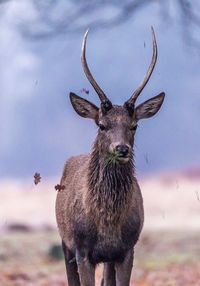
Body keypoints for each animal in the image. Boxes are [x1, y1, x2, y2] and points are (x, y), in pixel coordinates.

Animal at [55, 27, 165, 286]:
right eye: (102, 125)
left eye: (134, 125)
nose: (122, 149)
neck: (108, 223)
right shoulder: (82, 249)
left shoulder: (126, 249)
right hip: (65, 242)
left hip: (107, 259)